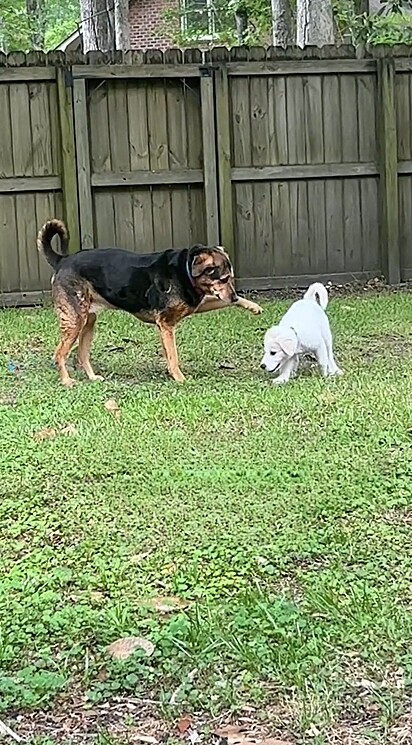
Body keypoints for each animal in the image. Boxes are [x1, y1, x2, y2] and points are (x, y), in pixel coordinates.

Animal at [37, 218, 262, 386]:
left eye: (230, 278)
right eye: (223, 279)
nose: (233, 296)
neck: (185, 271)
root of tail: (62, 260)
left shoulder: (193, 307)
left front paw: (252, 306)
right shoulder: (167, 324)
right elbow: (173, 357)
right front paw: (180, 379)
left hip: (89, 321)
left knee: (82, 354)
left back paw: (92, 378)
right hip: (75, 320)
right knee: (59, 354)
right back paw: (66, 380)